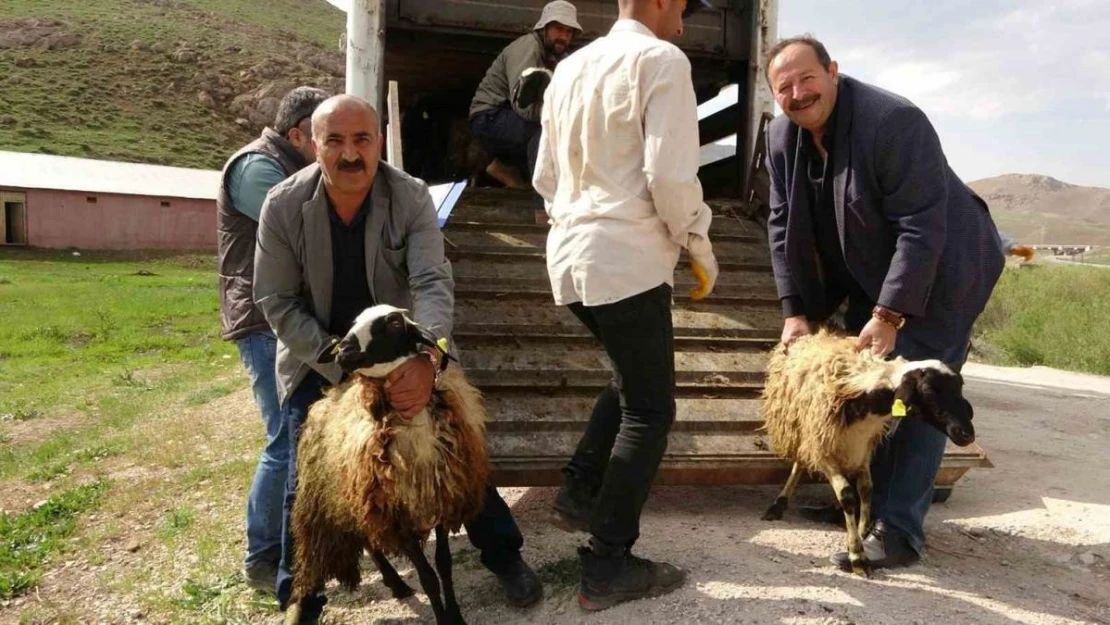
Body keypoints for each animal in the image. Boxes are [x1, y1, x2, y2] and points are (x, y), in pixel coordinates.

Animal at [286, 306, 490, 625]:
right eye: (353, 322)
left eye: (394, 323)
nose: (343, 348)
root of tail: (329, 396)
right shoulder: (396, 515)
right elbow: (428, 577)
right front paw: (442, 617)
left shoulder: (442, 502)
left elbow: (444, 565)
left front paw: (455, 616)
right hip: (348, 497)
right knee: (370, 544)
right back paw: (395, 583)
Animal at [759, 328, 976, 577]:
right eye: (929, 390)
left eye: (959, 387)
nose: (967, 434)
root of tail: (812, 335)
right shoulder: (824, 449)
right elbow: (847, 495)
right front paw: (857, 556)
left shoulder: (861, 448)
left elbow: (866, 489)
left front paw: (862, 532)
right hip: (802, 425)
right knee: (800, 461)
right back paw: (778, 505)